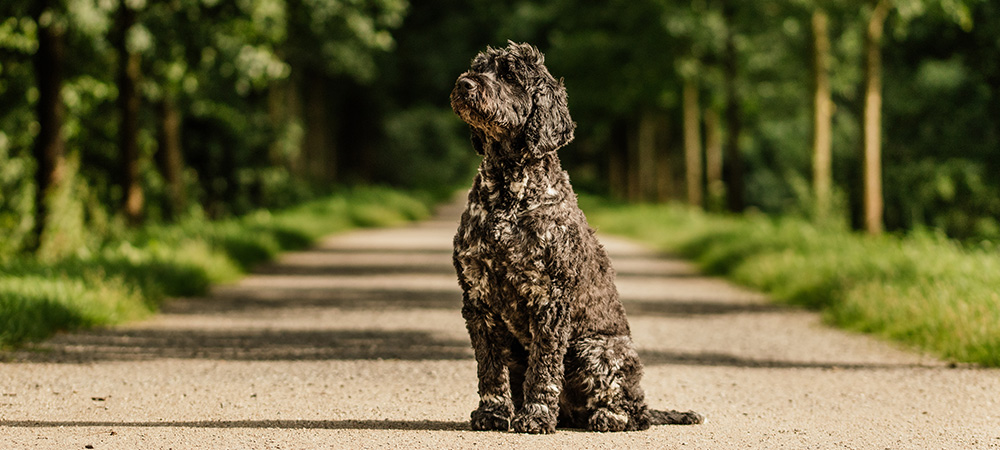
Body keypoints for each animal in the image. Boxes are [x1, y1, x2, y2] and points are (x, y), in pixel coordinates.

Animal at [452, 41, 704, 432]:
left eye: (509, 75)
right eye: (478, 68)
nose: (464, 84)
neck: (508, 195)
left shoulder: (551, 299)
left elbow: (544, 368)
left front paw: (536, 416)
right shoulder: (478, 299)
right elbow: (490, 367)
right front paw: (493, 413)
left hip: (597, 348)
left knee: (632, 413)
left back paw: (606, 417)